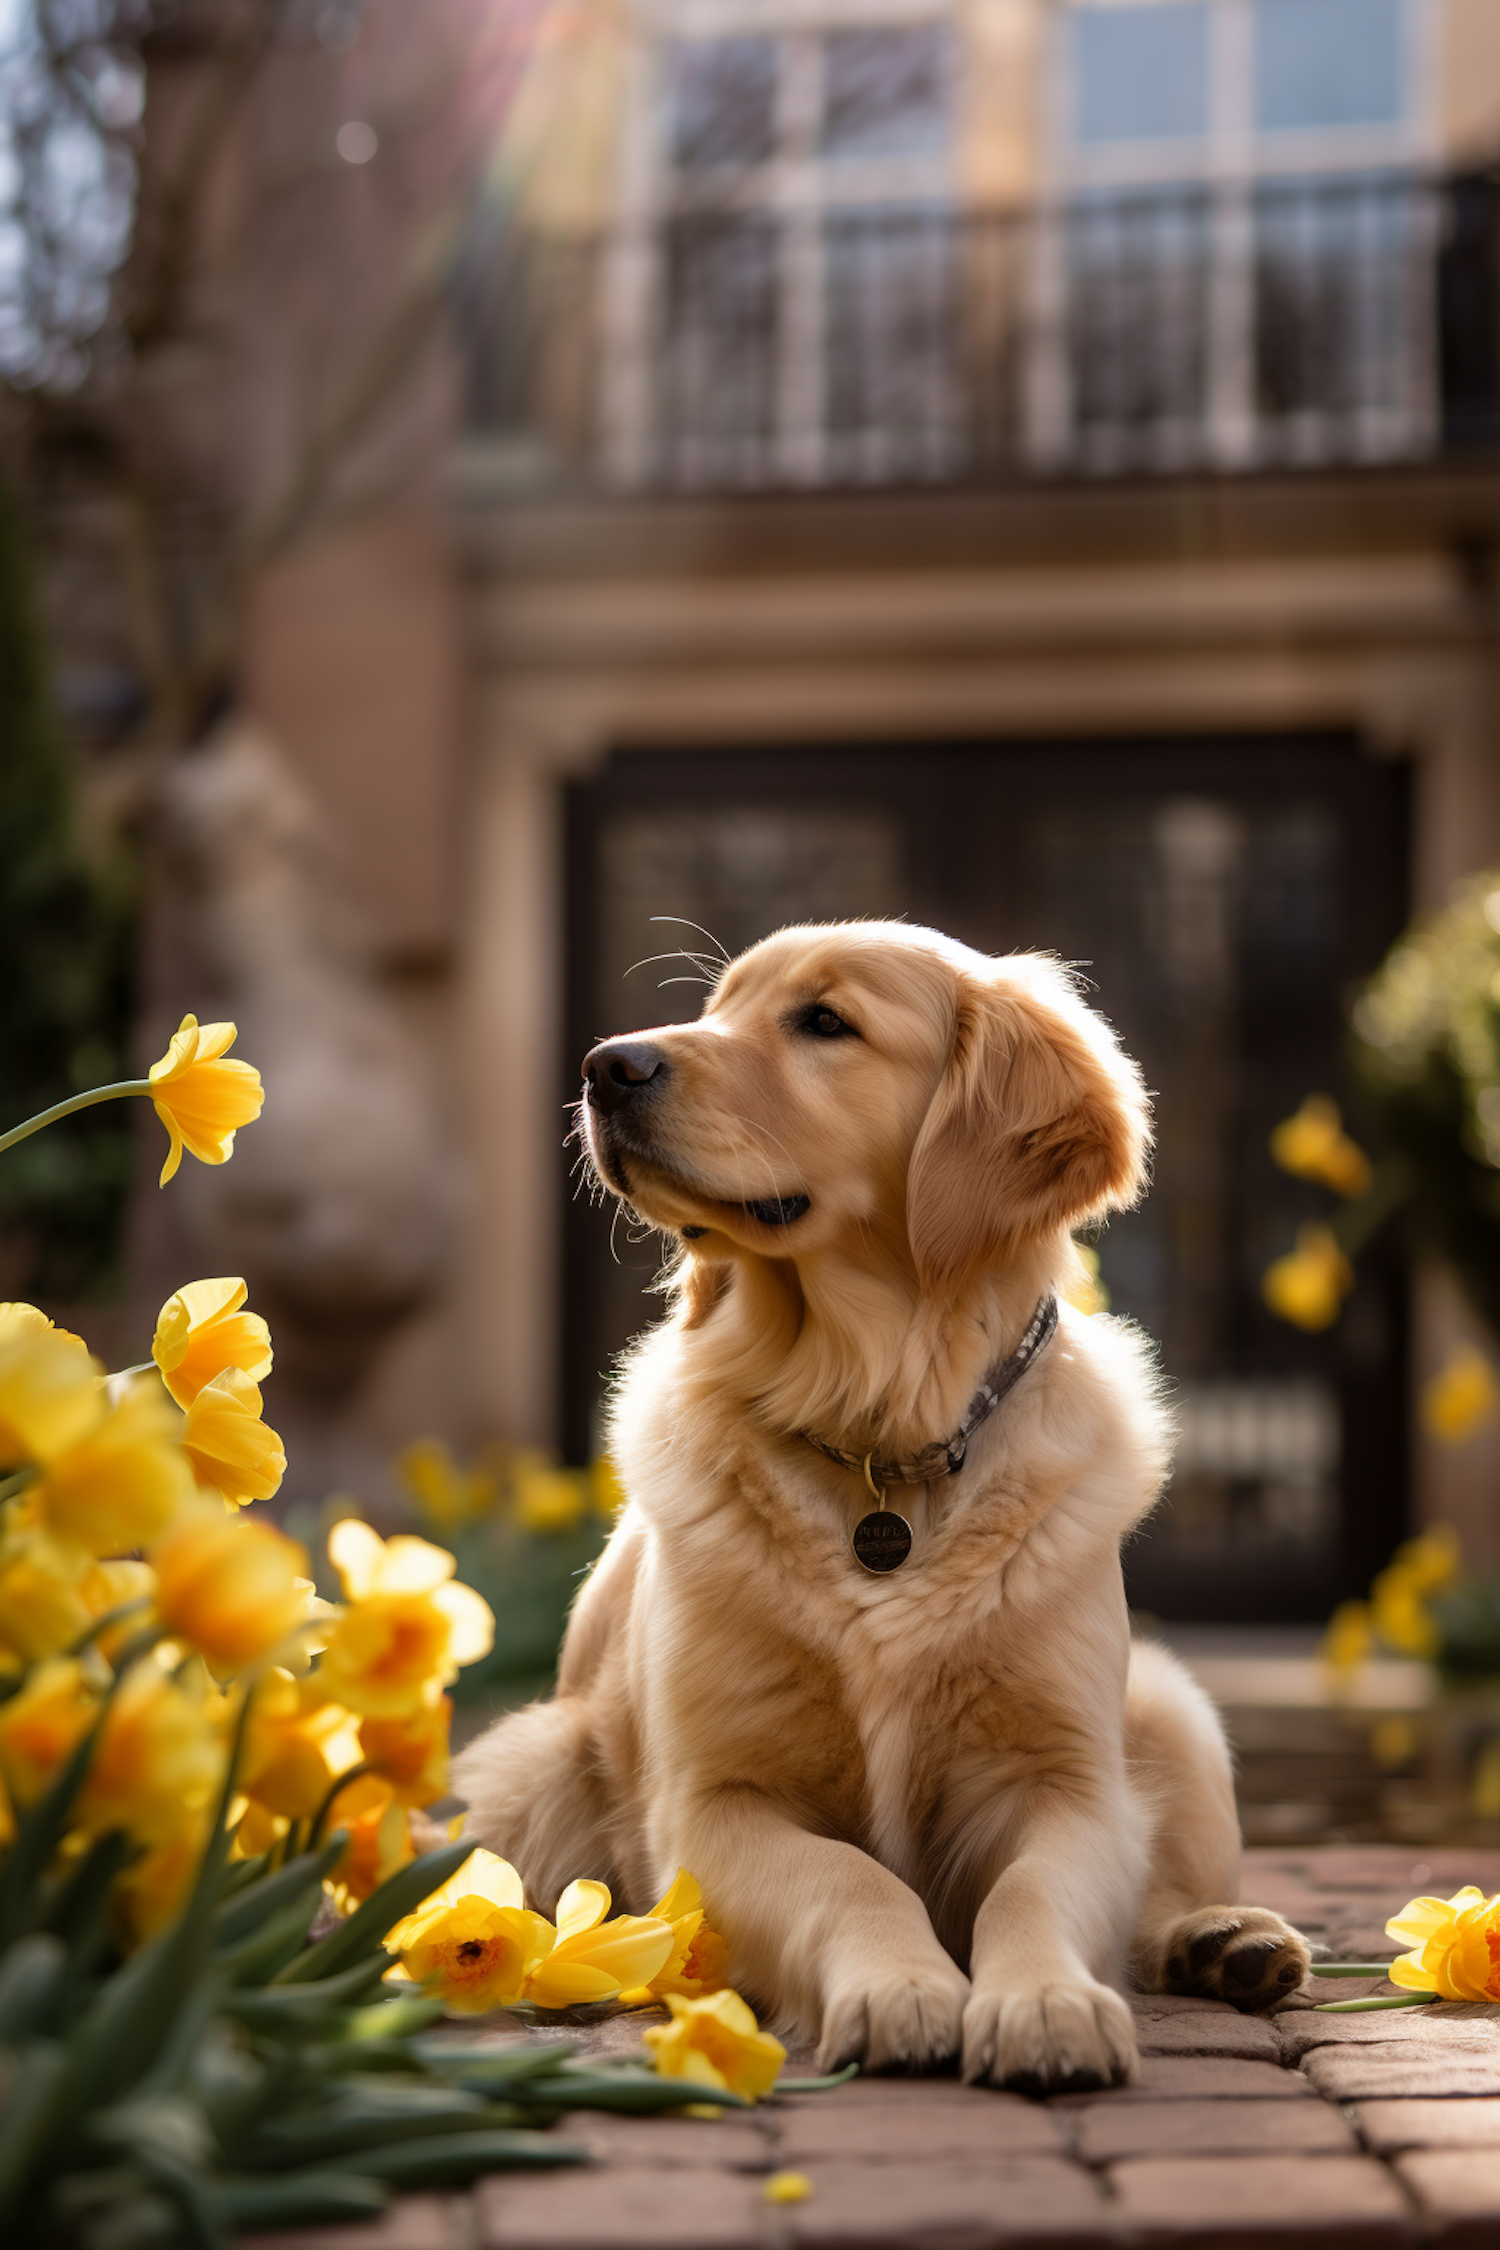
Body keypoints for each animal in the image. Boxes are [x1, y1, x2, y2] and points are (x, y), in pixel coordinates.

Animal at [454, 922, 1304, 2079]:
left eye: (825, 1023)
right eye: (716, 1009)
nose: (603, 1067)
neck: (880, 1441)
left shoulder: (1063, 1780)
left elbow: (1033, 1888)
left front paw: (1047, 2001)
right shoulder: (714, 1802)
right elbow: (848, 1876)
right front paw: (900, 1986)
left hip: (1174, 1715)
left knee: (1159, 1888)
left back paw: (1228, 1938)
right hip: (531, 1766)